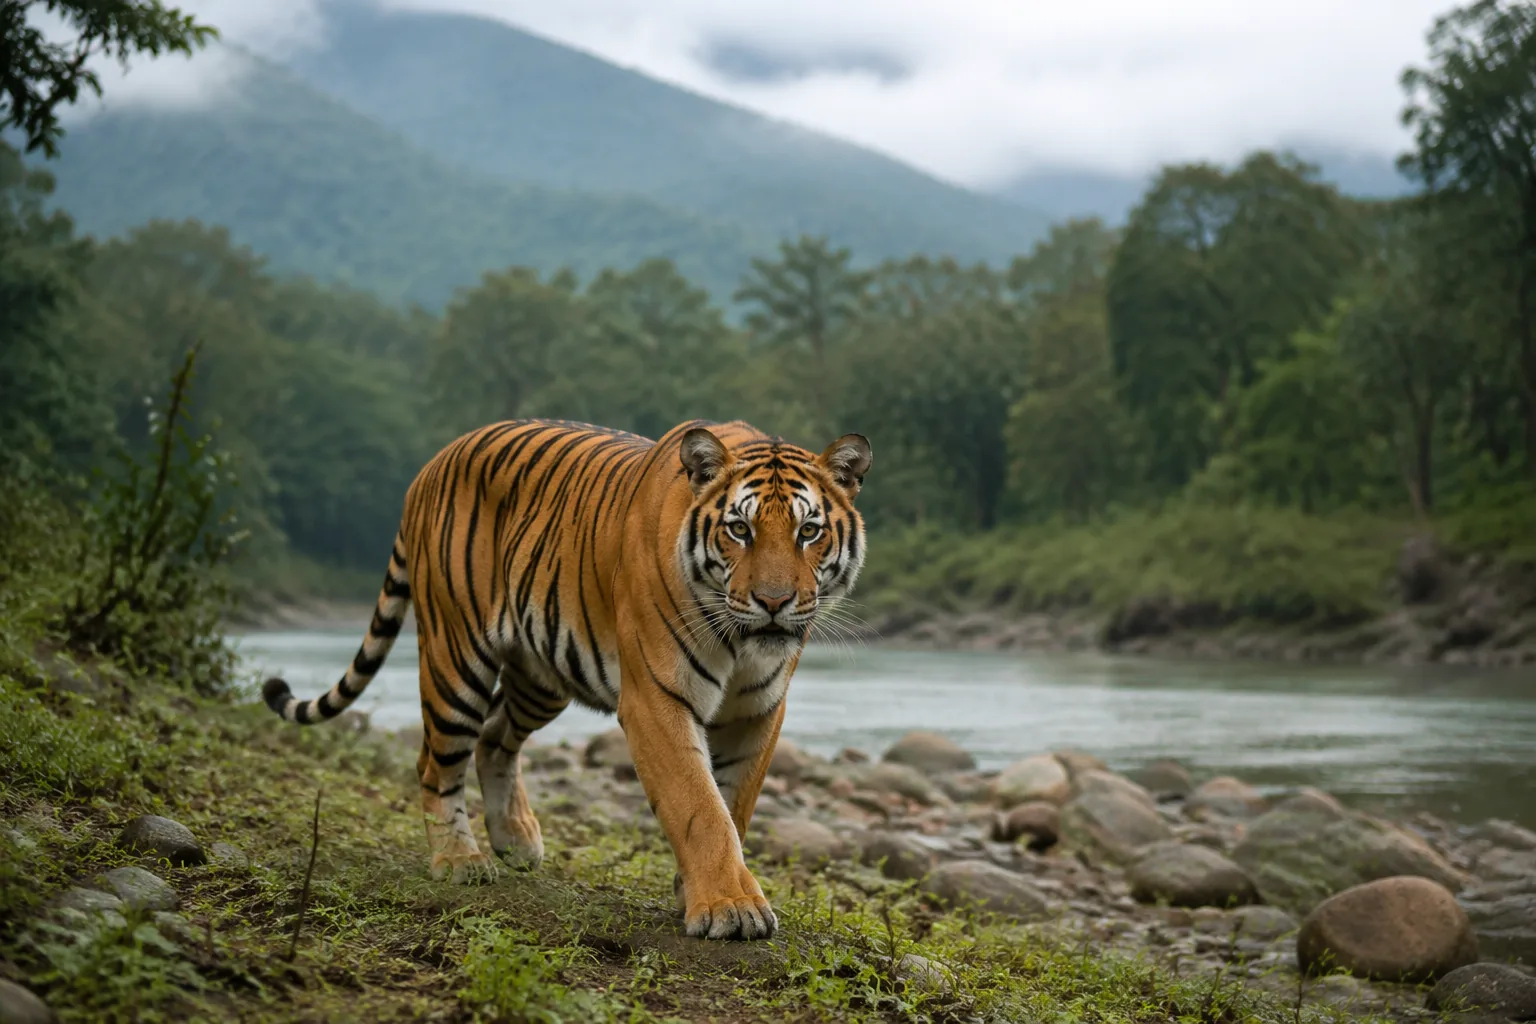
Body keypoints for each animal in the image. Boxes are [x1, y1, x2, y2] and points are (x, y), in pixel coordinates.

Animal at [260, 417, 872, 940]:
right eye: (739, 529)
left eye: (808, 531)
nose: (774, 602)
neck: (742, 644)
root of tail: (432, 462)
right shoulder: (656, 700)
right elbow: (700, 806)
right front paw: (730, 906)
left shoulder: (758, 710)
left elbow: (734, 806)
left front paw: (699, 890)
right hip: (455, 657)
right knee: (436, 761)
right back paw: (460, 860)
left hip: (543, 673)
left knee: (494, 738)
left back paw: (515, 841)